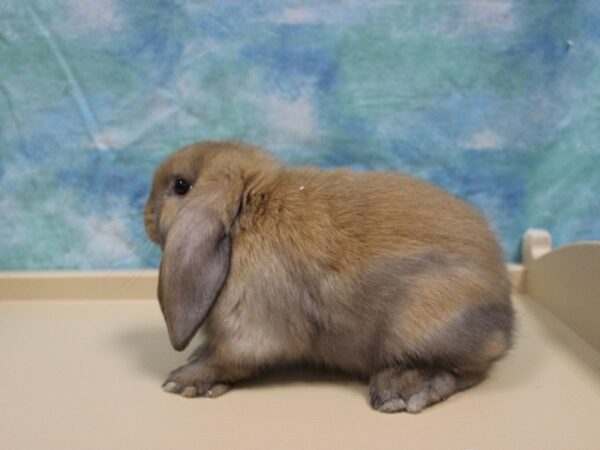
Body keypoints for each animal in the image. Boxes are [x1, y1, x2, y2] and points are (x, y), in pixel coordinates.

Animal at [143, 142, 512, 414]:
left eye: (180, 186)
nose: (145, 214)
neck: (245, 213)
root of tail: (505, 322)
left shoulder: (250, 325)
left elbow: (232, 357)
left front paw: (184, 380)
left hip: (422, 322)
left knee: (467, 370)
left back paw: (400, 389)